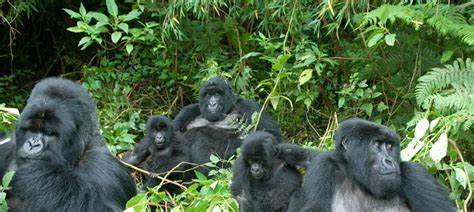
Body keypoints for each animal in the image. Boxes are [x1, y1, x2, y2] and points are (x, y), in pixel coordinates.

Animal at [294, 118, 458, 211]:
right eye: (377, 144)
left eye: (390, 146)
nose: (390, 161)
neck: (358, 179)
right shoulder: (321, 165)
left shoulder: (416, 174)